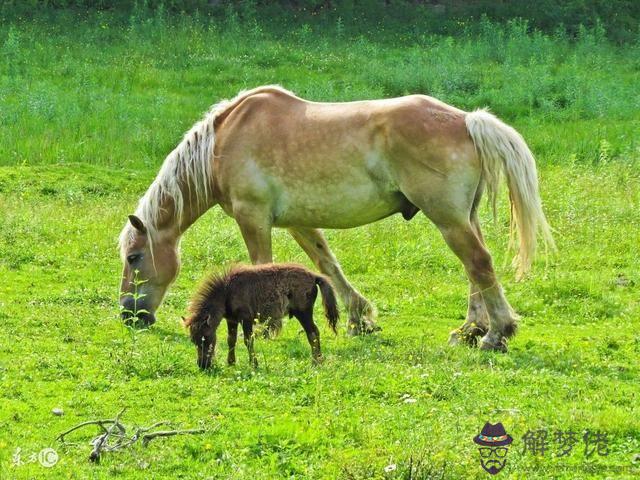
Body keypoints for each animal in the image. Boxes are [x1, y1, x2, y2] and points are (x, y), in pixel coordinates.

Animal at [120, 84, 556, 350]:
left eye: (134, 257)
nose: (129, 314)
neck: (222, 143)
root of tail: (467, 120)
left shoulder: (253, 218)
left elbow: (262, 265)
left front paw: (266, 327)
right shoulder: (297, 221)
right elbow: (326, 262)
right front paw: (359, 317)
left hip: (448, 219)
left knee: (479, 264)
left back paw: (496, 335)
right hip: (463, 219)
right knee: (474, 272)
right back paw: (470, 329)